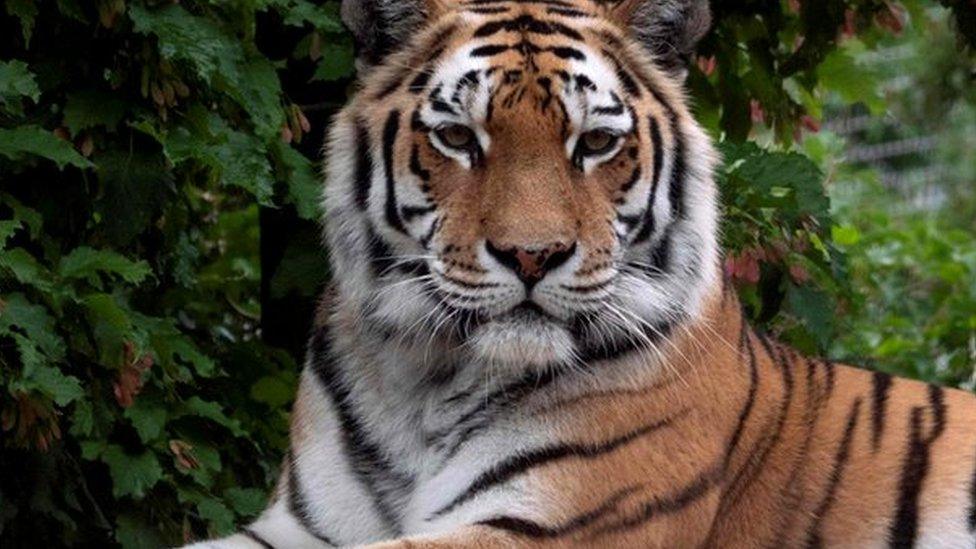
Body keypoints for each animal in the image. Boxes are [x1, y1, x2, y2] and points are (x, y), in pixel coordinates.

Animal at [183, 1, 976, 548]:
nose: (532, 254)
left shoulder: (551, 525)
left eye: (594, 143)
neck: (424, 381)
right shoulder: (301, 525)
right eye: (457, 137)